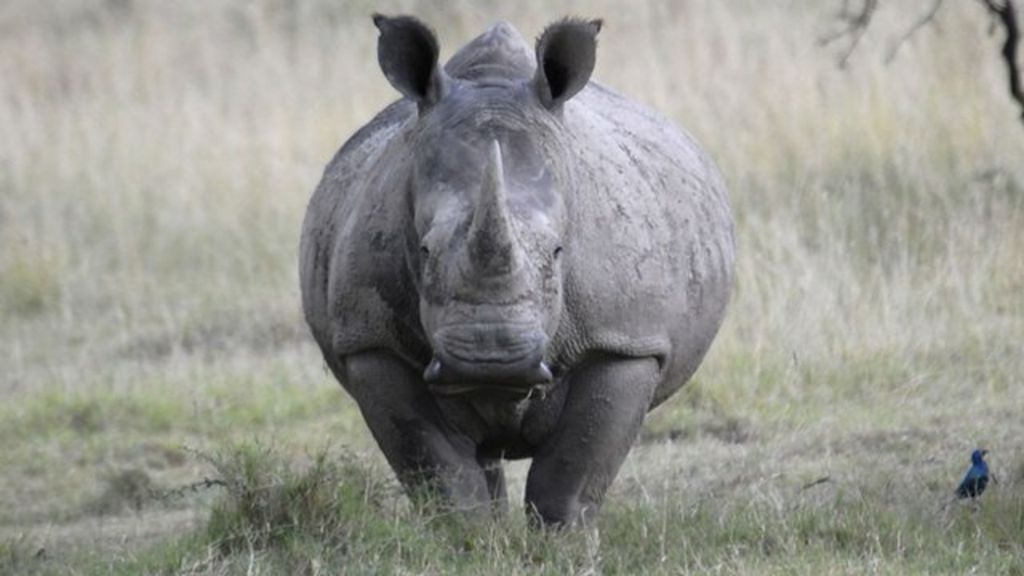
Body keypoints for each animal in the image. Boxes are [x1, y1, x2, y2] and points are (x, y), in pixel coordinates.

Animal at [300, 14, 734, 527]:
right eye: (424, 251)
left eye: (559, 252)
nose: (491, 359)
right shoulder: (372, 341)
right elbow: (441, 474)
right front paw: (468, 540)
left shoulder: (625, 341)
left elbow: (571, 474)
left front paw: (562, 541)